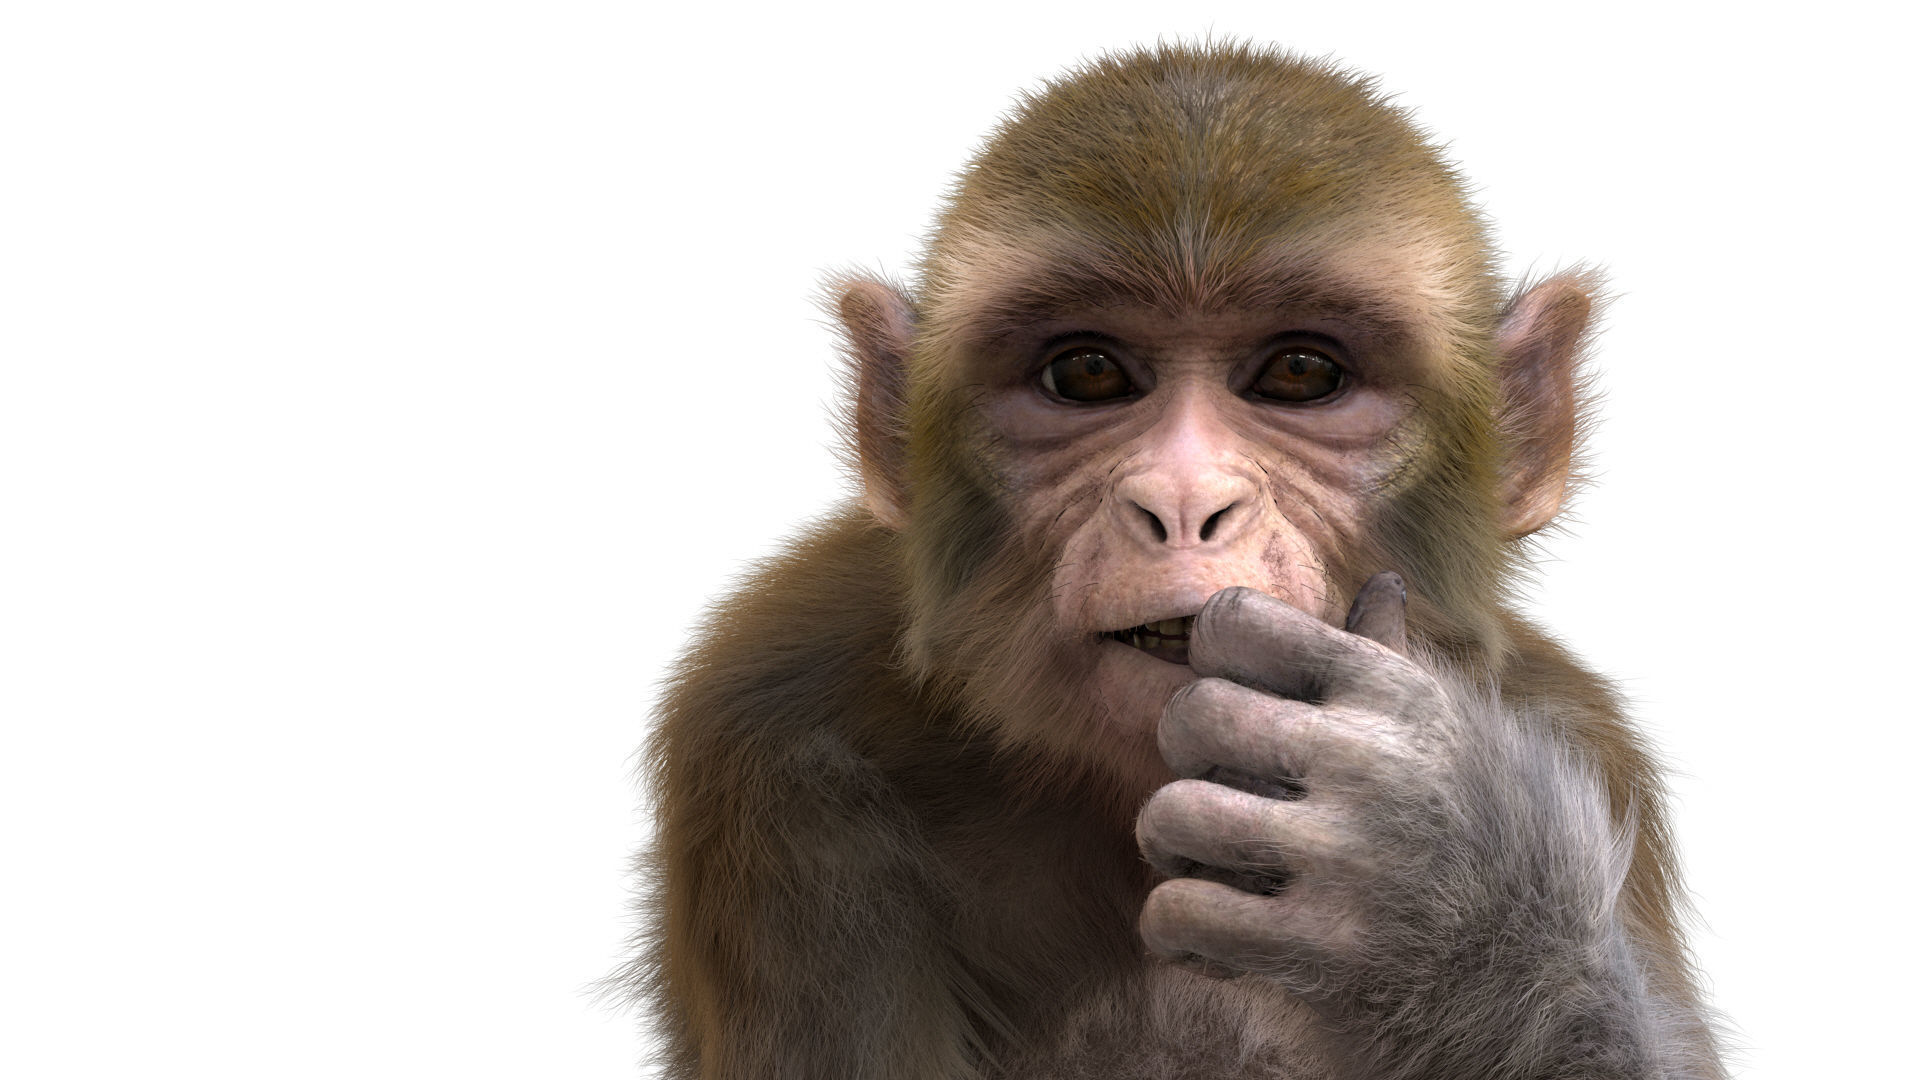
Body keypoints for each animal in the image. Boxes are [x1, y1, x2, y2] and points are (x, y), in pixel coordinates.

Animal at [619, 43, 1726, 1079]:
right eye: (1088, 372)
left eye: (1300, 371)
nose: (1184, 499)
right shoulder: (775, 731)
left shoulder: (1583, 737)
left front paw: (1443, 902)